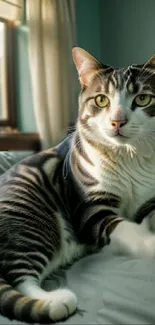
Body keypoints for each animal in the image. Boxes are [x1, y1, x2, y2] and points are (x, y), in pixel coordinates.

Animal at [0, 46, 155, 322]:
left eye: (143, 99)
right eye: (101, 100)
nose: (118, 121)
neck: (129, 157)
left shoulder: (149, 199)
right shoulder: (91, 209)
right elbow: (129, 230)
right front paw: (150, 244)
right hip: (30, 217)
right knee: (18, 276)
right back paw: (55, 301)